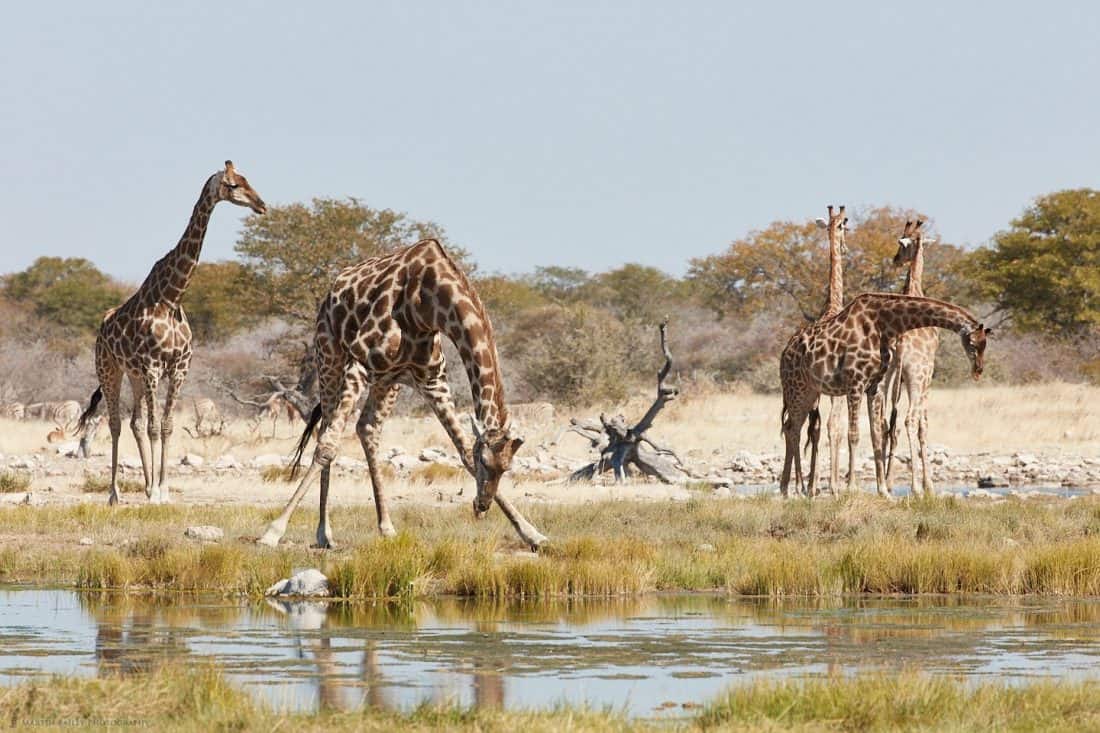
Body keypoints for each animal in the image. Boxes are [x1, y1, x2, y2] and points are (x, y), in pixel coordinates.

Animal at [75, 161, 266, 501]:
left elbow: (165, 426)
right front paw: (154, 494)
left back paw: (145, 484)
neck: (171, 297)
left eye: (247, 180)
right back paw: (114, 494)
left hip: (134, 375)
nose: (261, 205)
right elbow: (154, 427)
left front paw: (162, 490)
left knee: (135, 422)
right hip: (109, 369)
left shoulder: (179, 368)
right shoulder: (153, 366)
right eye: (233, 185)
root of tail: (102, 326)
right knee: (115, 423)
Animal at [258, 235, 550, 548]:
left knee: (367, 428)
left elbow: (461, 449)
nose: (481, 505)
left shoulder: (432, 381)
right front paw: (273, 531)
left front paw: (532, 533)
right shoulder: (359, 365)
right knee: (326, 429)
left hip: (388, 379)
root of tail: (332, 290)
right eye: (485, 461)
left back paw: (386, 526)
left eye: (507, 467)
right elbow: (327, 447)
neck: (428, 304)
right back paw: (324, 532)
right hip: (330, 355)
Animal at [778, 292, 994, 497]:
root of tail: (784, 352)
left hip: (809, 391)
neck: (886, 325)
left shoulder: (874, 386)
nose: (978, 370)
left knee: (790, 427)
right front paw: (851, 488)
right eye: (973, 344)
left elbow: (876, 435)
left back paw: (787, 488)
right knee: (793, 429)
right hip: (796, 387)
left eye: (985, 344)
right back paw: (796, 488)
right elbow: (853, 434)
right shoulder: (855, 383)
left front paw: (883, 491)